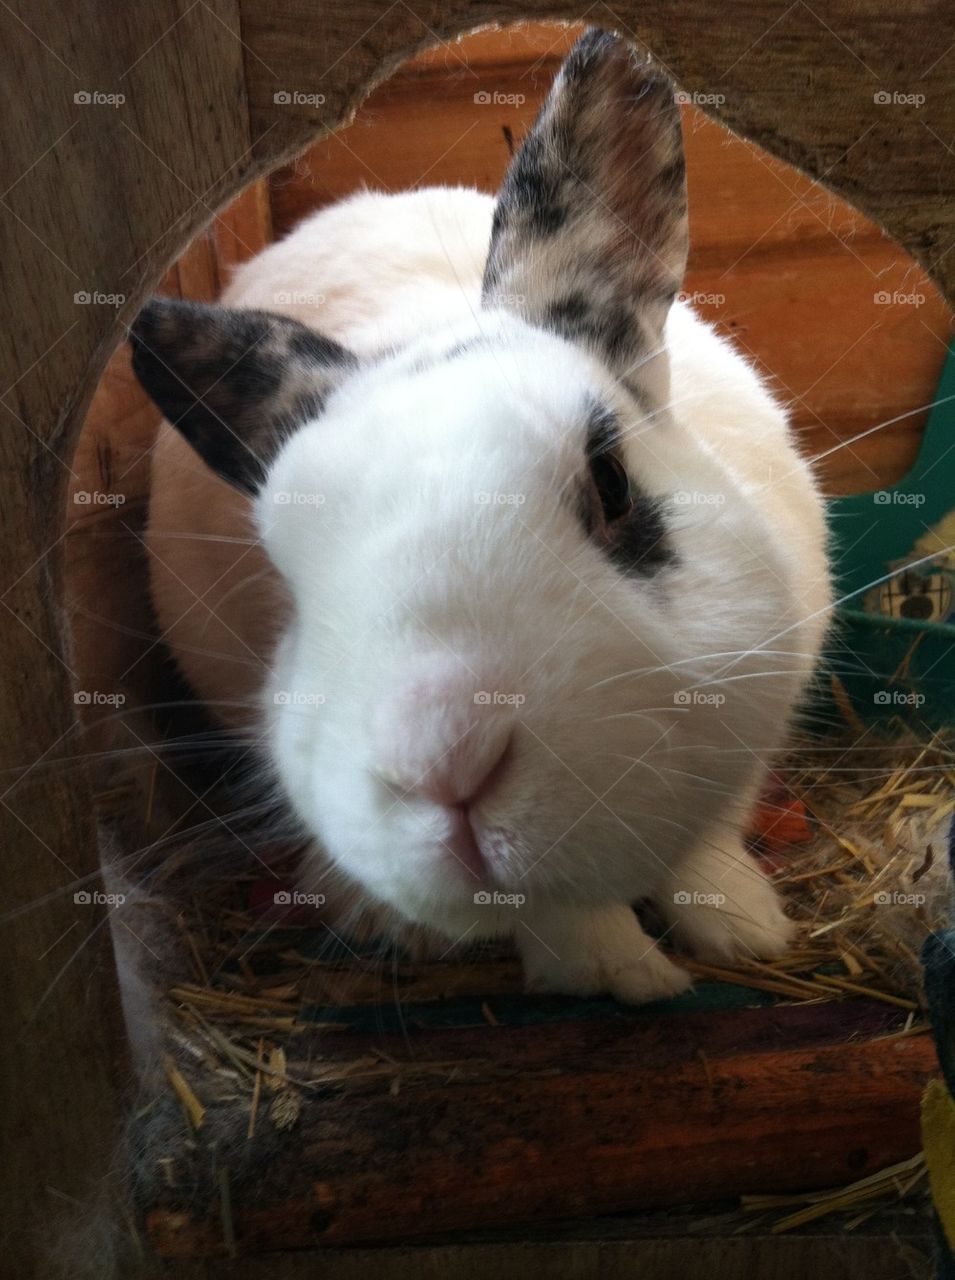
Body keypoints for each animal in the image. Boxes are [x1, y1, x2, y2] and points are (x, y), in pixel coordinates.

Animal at [134, 28, 831, 1004]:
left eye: (611, 483)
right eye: (291, 582)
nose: (444, 767)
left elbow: (708, 837)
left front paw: (744, 930)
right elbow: (562, 913)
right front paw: (618, 975)